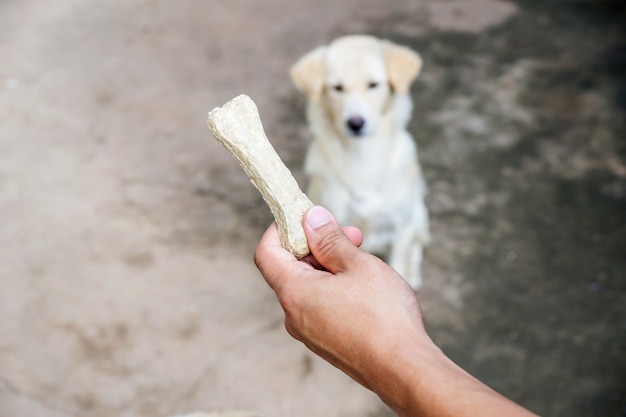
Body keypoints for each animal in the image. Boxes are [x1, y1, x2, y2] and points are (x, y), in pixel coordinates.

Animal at [288, 34, 428, 290]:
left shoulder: (400, 227)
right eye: (337, 88)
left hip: (418, 214)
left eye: (373, 85)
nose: (355, 123)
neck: (362, 159)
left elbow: (400, 260)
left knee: (417, 244)